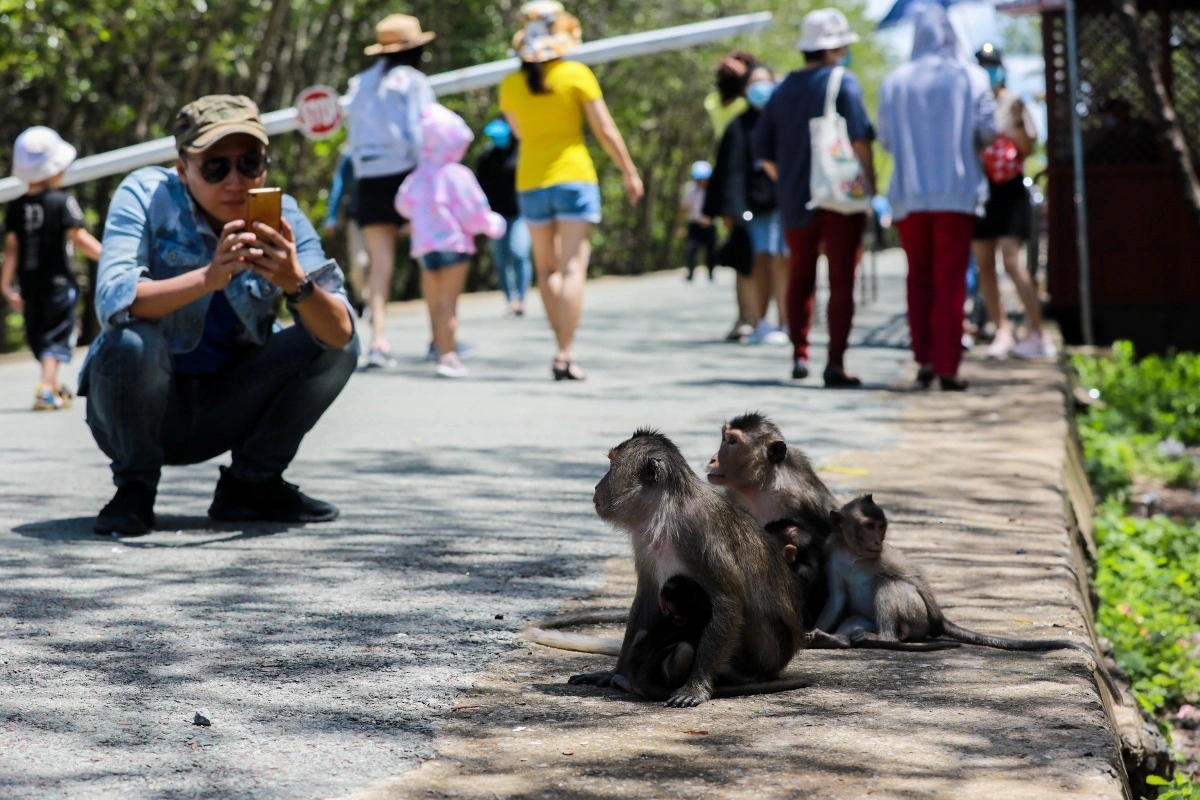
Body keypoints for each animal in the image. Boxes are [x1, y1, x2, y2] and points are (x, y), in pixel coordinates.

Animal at [567, 428, 810, 707]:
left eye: (612, 464)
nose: (597, 486)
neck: (666, 510)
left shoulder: (698, 531)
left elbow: (728, 601)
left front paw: (696, 687)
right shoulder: (643, 540)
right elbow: (647, 598)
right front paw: (612, 673)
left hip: (767, 652)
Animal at [807, 495, 1121, 699]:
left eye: (881, 528)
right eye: (868, 527)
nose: (876, 541)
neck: (853, 554)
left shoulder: (884, 555)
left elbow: (913, 575)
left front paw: (938, 621)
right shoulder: (832, 554)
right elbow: (836, 598)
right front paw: (812, 631)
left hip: (915, 616)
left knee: (891, 586)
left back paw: (887, 638)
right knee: (856, 618)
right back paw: (837, 640)